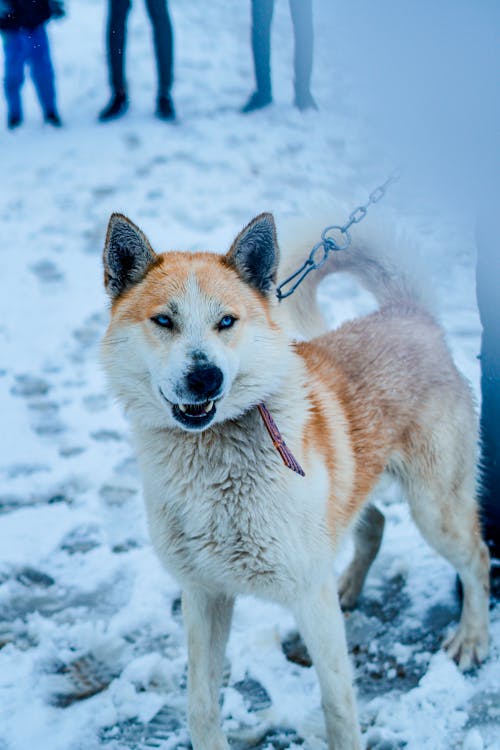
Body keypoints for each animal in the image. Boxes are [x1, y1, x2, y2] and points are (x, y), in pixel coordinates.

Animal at [100, 213, 488, 750]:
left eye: (227, 322)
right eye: (164, 321)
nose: (206, 377)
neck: (214, 458)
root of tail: (409, 313)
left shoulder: (309, 598)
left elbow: (338, 705)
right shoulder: (203, 594)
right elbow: (201, 706)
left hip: (436, 510)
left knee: (478, 558)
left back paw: (472, 637)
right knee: (375, 522)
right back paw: (352, 584)